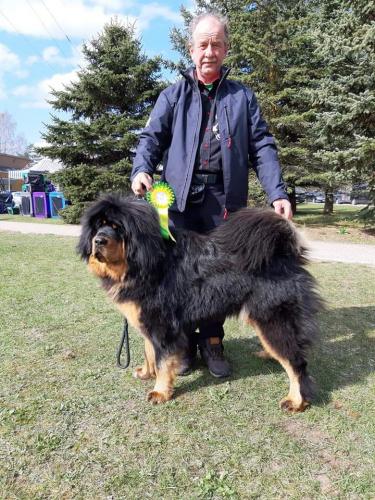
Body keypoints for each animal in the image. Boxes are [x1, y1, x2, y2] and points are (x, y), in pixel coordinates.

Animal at [78, 194, 324, 410]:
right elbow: (149, 353)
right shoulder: (148, 323)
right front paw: (146, 373)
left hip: (273, 318)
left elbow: (163, 361)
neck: (141, 263)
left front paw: (160, 392)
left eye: (117, 227)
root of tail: (286, 254)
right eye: (98, 227)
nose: (98, 240)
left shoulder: (162, 326)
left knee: (296, 363)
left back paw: (296, 400)